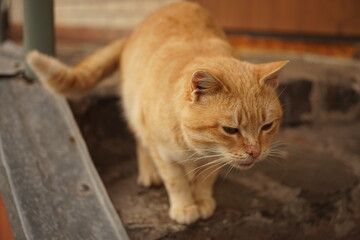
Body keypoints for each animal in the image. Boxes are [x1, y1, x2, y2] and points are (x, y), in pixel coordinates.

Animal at [26, 1, 286, 224]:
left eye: (267, 126)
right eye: (230, 130)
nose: (255, 152)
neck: (195, 147)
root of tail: (131, 33)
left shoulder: (214, 159)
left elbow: (205, 179)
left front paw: (202, 200)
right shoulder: (163, 152)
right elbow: (176, 181)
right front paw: (184, 207)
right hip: (136, 113)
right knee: (142, 145)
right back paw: (150, 174)